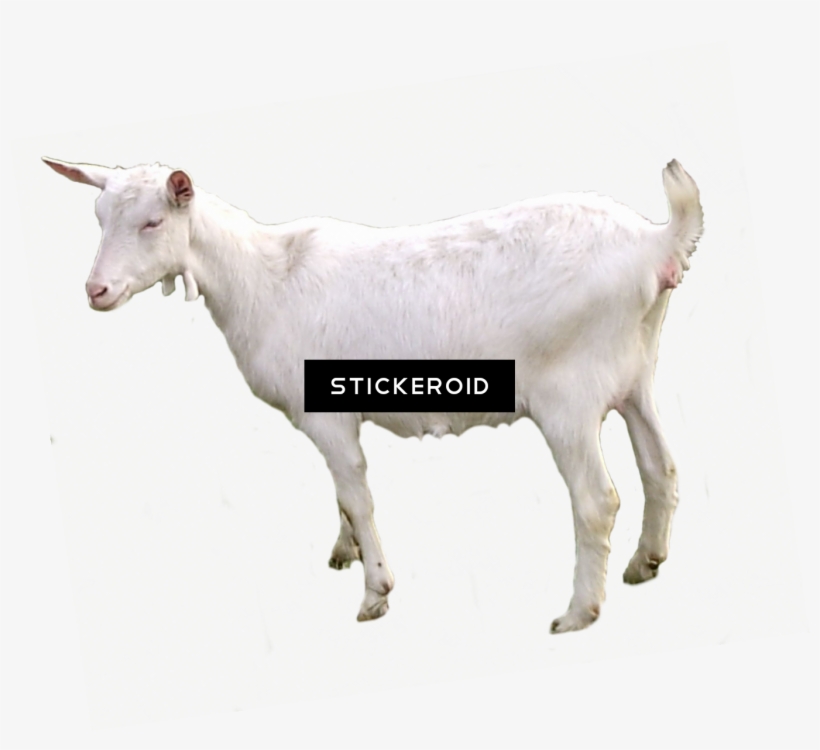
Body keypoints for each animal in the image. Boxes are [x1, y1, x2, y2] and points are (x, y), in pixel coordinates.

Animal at [43, 156, 703, 633]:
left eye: (152, 222)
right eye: (100, 218)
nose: (95, 290)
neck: (261, 278)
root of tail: (655, 244)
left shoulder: (325, 417)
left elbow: (357, 496)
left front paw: (375, 593)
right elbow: (343, 497)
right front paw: (346, 553)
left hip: (567, 393)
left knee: (597, 500)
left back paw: (578, 613)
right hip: (635, 373)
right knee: (662, 468)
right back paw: (645, 563)